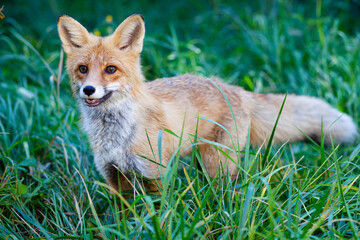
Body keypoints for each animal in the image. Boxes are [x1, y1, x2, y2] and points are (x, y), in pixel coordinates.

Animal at [57, 13, 358, 193]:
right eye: (83, 69)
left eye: (110, 69)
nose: (88, 90)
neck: (117, 136)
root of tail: (232, 88)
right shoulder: (114, 177)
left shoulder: (154, 175)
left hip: (217, 166)